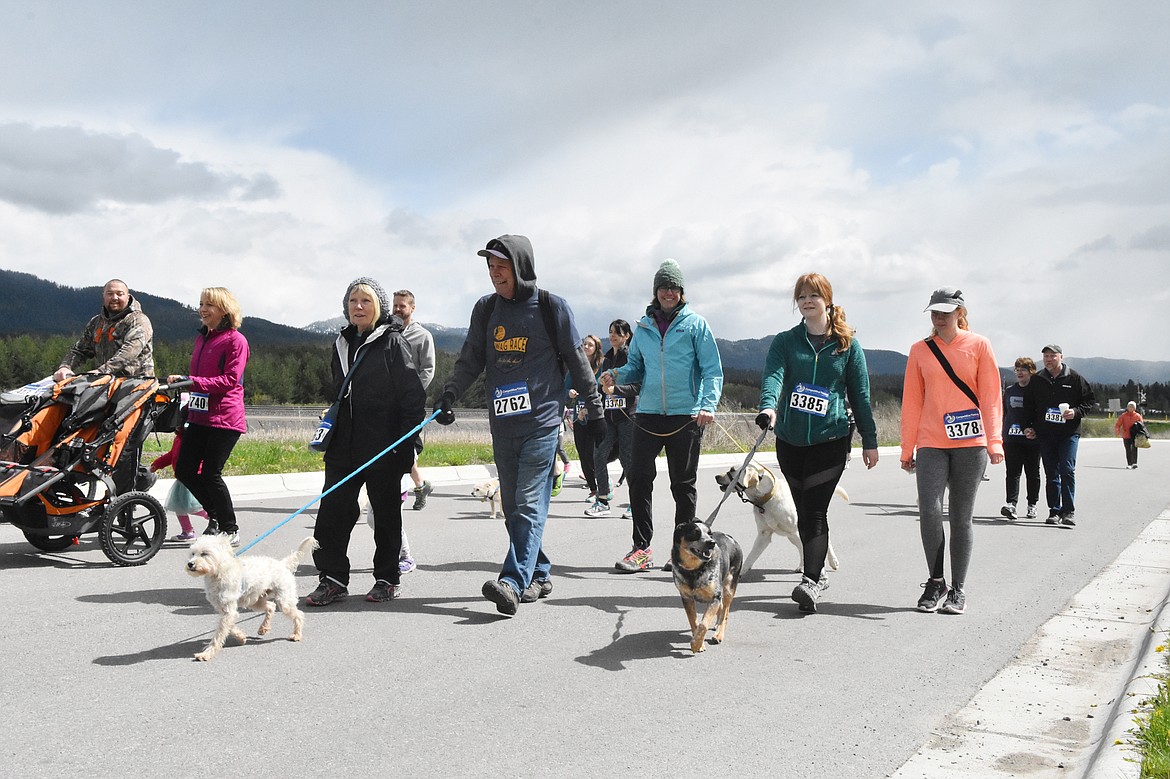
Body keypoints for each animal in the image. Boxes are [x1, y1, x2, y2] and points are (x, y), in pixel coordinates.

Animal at [184, 531, 318, 659]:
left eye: (204, 553)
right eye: (193, 553)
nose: (190, 564)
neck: (219, 571)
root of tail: (282, 564)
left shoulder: (228, 610)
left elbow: (219, 634)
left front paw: (206, 654)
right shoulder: (224, 610)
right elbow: (229, 627)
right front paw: (241, 637)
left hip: (284, 601)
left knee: (298, 615)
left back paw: (296, 634)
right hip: (254, 601)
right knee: (271, 606)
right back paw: (264, 628)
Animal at [673, 519, 744, 650]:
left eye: (710, 534)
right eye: (695, 533)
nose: (711, 543)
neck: (695, 570)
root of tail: (730, 537)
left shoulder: (714, 597)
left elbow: (704, 623)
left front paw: (696, 645)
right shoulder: (686, 598)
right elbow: (693, 621)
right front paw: (699, 643)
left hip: (729, 586)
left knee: (725, 612)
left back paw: (719, 635)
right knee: (721, 607)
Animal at [711, 458, 851, 573]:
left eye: (732, 470)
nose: (716, 476)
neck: (767, 499)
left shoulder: (797, 531)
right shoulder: (764, 535)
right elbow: (751, 557)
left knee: (826, 542)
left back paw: (833, 561)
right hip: (791, 536)